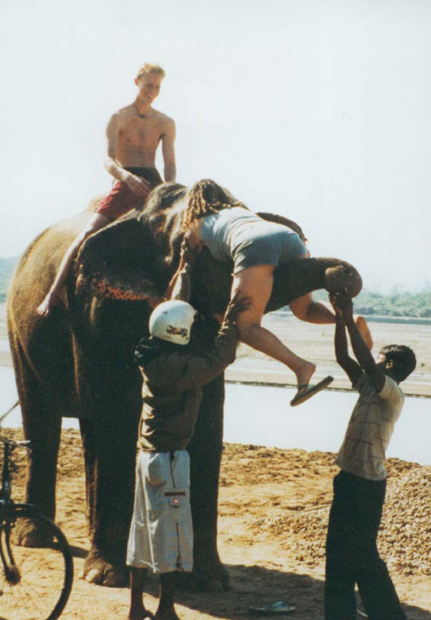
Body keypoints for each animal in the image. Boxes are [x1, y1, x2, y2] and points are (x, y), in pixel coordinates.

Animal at [8, 182, 362, 588]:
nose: (342, 277)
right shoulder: (92, 313)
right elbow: (113, 419)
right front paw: (107, 577)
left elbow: (205, 421)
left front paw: (211, 581)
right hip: (19, 333)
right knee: (42, 420)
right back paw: (34, 537)